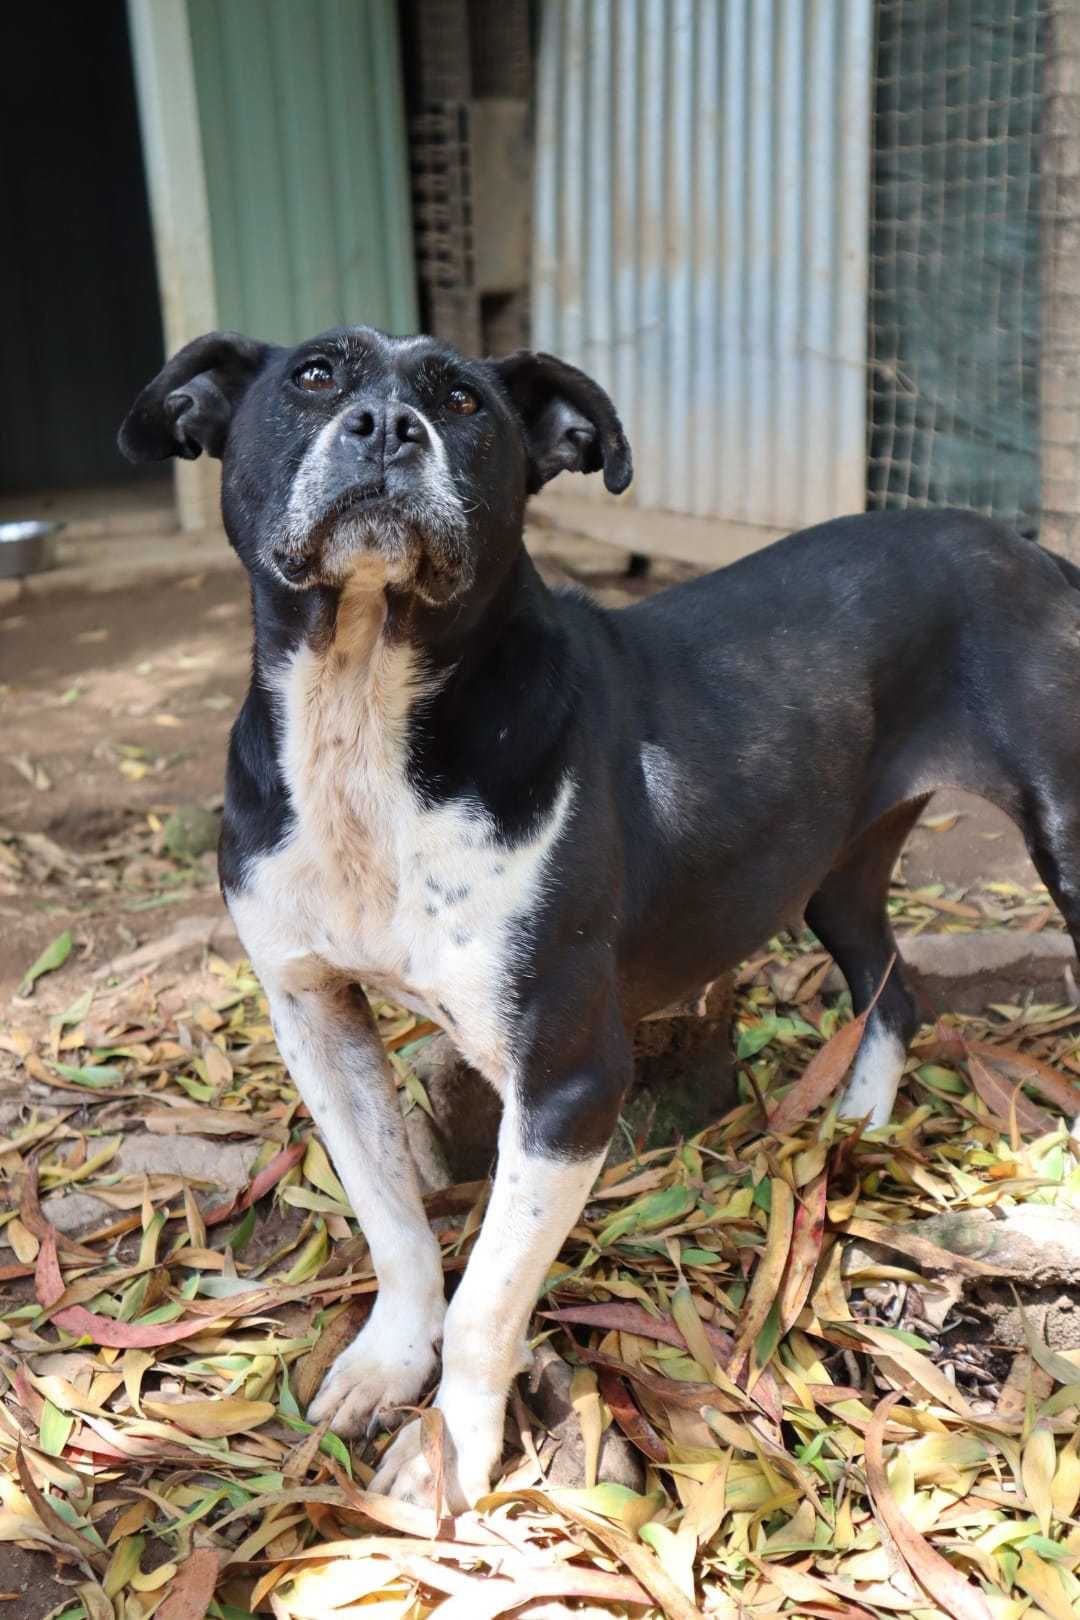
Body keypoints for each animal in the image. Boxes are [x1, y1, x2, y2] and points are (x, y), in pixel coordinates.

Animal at [122, 325, 1080, 1503]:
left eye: (463, 401)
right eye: (313, 376)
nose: (389, 426)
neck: (362, 713)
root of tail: (1032, 552)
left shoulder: (569, 1081)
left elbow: (488, 1299)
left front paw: (450, 1454)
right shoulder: (314, 1013)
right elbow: (393, 1219)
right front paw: (389, 1361)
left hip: (1063, 840)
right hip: (832, 867)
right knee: (893, 989)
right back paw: (853, 1127)